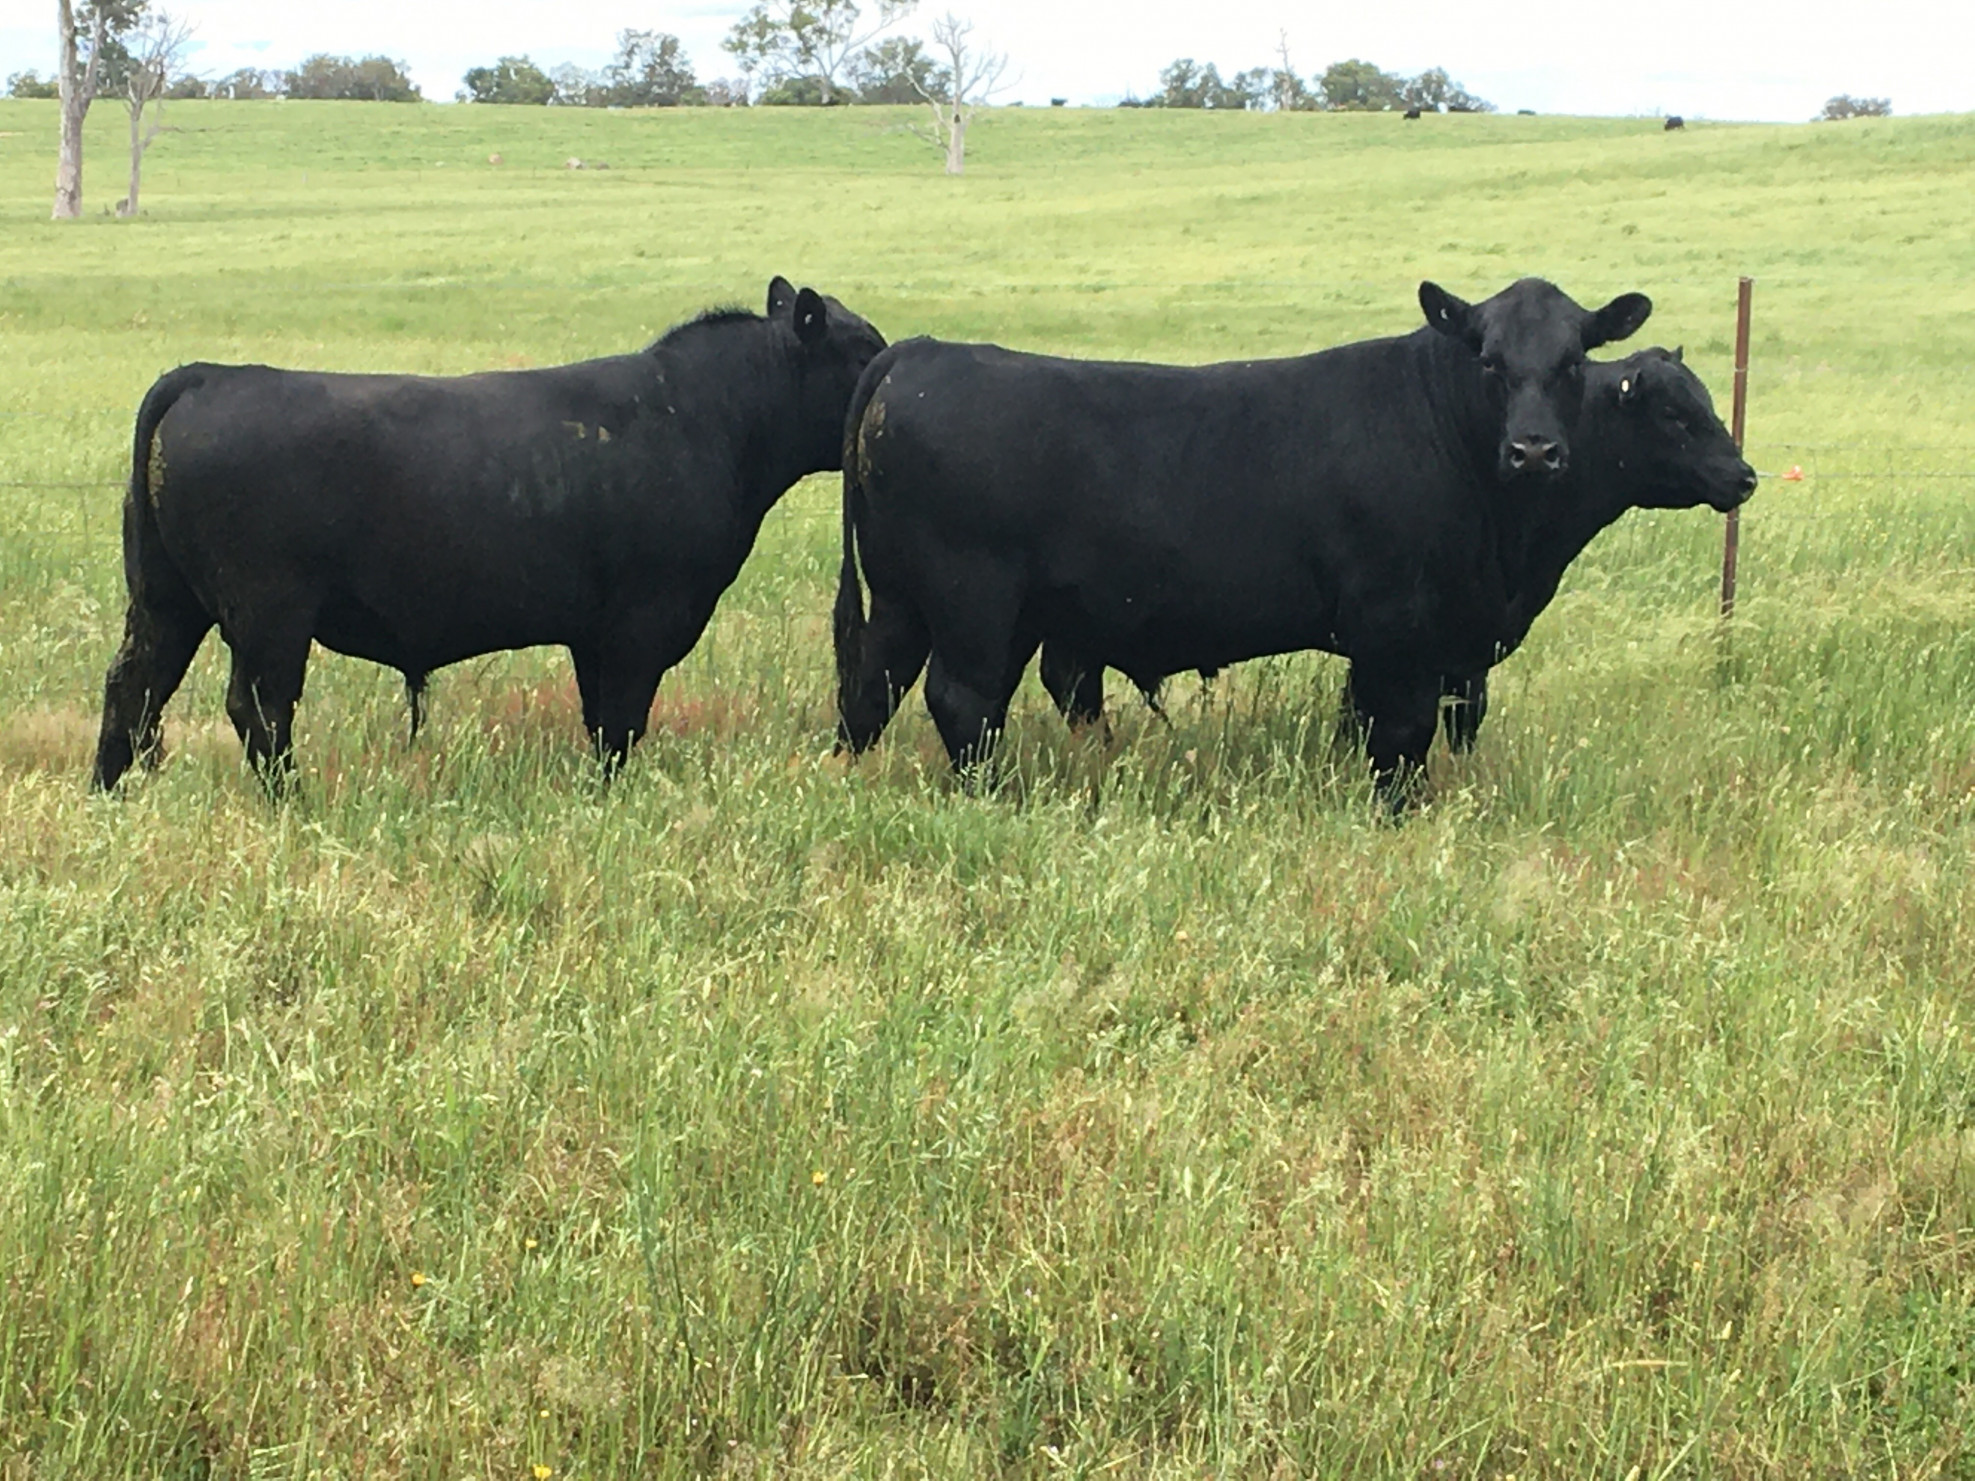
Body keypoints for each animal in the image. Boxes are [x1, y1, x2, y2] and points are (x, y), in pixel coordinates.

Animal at [93, 277, 886, 792]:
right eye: (861, 350)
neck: (701, 417)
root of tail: (208, 375)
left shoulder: (594, 631)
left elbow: (602, 718)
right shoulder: (643, 620)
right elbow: (623, 719)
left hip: (166, 599)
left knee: (134, 686)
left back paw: (110, 792)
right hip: (269, 609)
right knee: (257, 707)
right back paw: (290, 801)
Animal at [832, 277, 1657, 804]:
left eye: (1573, 362)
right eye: (1488, 360)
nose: (1533, 451)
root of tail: (922, 351)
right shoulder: (1398, 627)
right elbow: (1399, 731)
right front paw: (1401, 813)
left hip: (909, 597)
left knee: (874, 685)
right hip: (971, 598)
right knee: (961, 699)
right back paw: (996, 797)